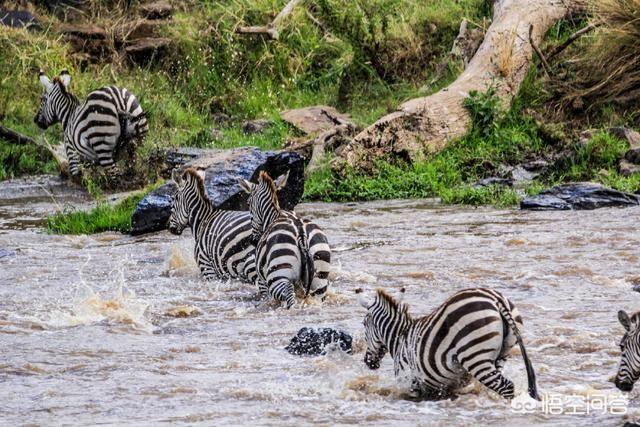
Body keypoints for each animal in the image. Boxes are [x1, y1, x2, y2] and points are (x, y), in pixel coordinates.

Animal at [238, 170, 332, 308]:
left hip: (278, 276)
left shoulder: (263, 281)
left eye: (249, 203)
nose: (253, 240)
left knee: (290, 296)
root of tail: (301, 234)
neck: (273, 217)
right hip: (319, 277)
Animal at [356, 288, 540, 402]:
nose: (368, 362)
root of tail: (496, 299)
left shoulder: (409, 381)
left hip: (475, 356)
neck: (400, 338)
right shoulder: (445, 388)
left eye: (364, 324)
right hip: (501, 355)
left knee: (506, 387)